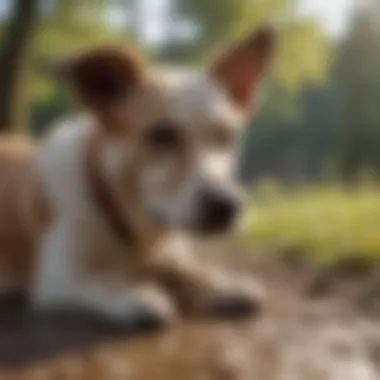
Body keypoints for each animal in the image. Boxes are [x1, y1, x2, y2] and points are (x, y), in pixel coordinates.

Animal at [0, 26, 274, 328]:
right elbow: (104, 281)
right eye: (161, 135)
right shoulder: (58, 277)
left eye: (226, 135)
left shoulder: (169, 255)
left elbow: (190, 272)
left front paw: (222, 284)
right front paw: (136, 295)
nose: (226, 206)